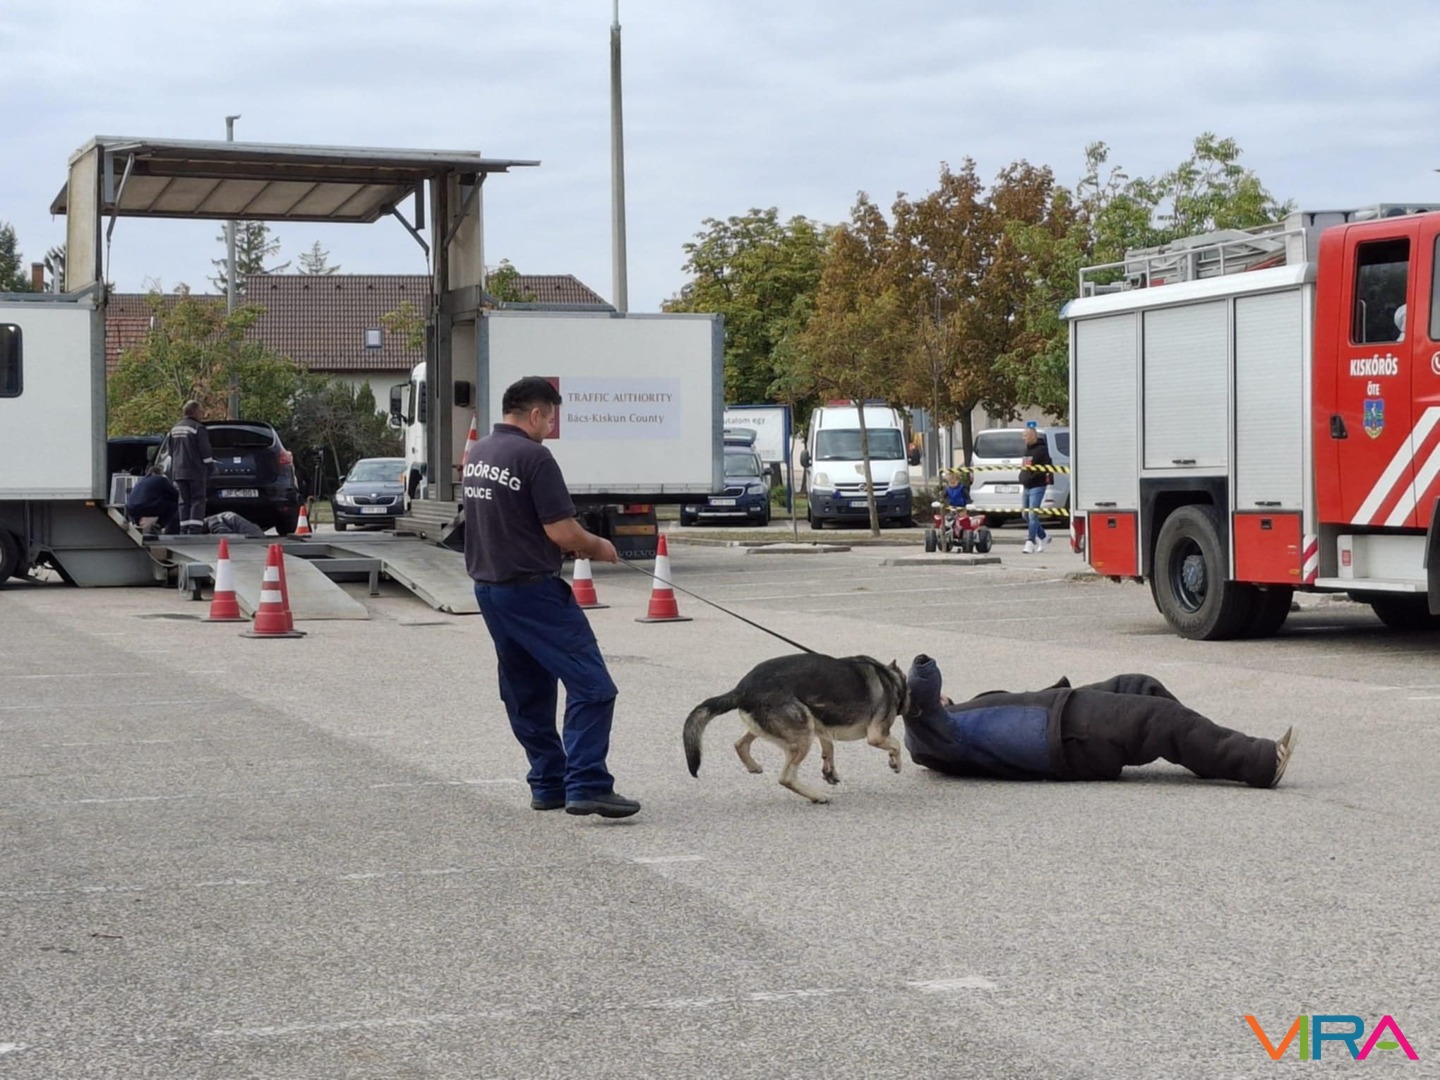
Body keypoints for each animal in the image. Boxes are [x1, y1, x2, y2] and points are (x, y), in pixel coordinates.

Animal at [682, 653, 910, 803]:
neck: (891, 679)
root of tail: (742, 689)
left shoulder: (822, 726)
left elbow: (828, 749)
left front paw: (829, 771)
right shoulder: (877, 736)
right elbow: (897, 745)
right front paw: (896, 763)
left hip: (790, 726)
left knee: (740, 743)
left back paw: (753, 766)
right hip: (803, 735)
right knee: (786, 778)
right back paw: (817, 796)